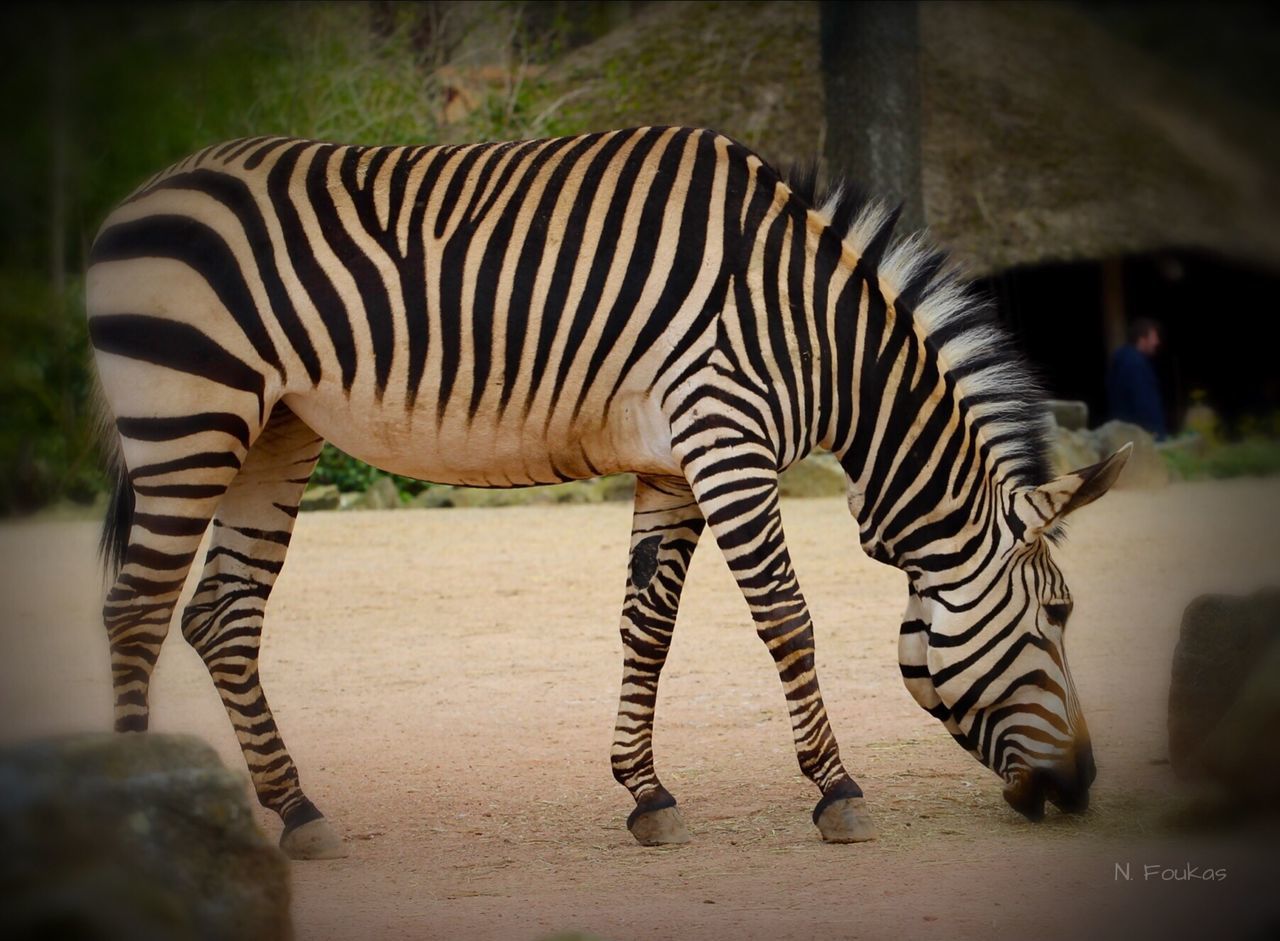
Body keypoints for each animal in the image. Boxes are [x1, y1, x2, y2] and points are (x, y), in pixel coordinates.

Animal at [87, 125, 1131, 860]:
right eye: (1061, 616)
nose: (1084, 785)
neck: (817, 334)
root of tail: (138, 197)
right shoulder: (728, 436)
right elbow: (786, 617)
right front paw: (837, 792)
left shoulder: (674, 459)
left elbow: (648, 625)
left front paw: (646, 792)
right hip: (189, 416)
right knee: (136, 610)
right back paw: (143, 812)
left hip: (275, 428)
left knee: (221, 615)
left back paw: (299, 812)